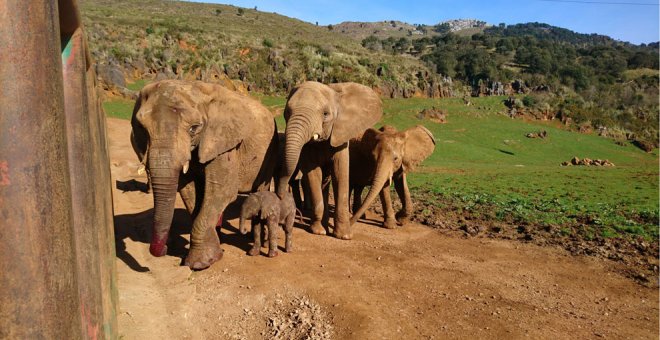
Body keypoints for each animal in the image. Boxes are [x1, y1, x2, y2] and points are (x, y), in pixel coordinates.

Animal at [130, 79, 278, 268]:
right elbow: (190, 191)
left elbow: (222, 192)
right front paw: (211, 253)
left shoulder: (224, 143)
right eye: (141, 128)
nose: (164, 250)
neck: (196, 89)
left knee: (260, 188)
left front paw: (199, 263)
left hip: (270, 150)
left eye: (194, 128)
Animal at [276, 81, 382, 239]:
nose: (281, 198)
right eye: (287, 112)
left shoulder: (340, 136)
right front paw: (318, 232)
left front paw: (344, 236)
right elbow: (313, 174)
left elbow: (340, 172)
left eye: (325, 114)